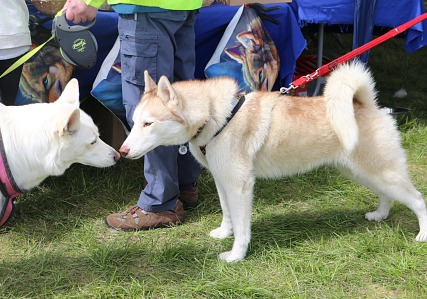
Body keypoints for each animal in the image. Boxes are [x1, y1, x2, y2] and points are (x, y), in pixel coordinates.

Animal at [118, 61, 426, 262]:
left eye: (148, 123)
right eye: (135, 121)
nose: (122, 150)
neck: (218, 116)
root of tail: (369, 105)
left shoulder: (240, 186)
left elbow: (242, 227)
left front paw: (236, 255)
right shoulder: (222, 181)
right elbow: (228, 214)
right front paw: (224, 233)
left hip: (381, 172)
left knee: (418, 200)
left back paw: (422, 236)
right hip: (361, 172)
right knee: (386, 196)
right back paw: (381, 215)